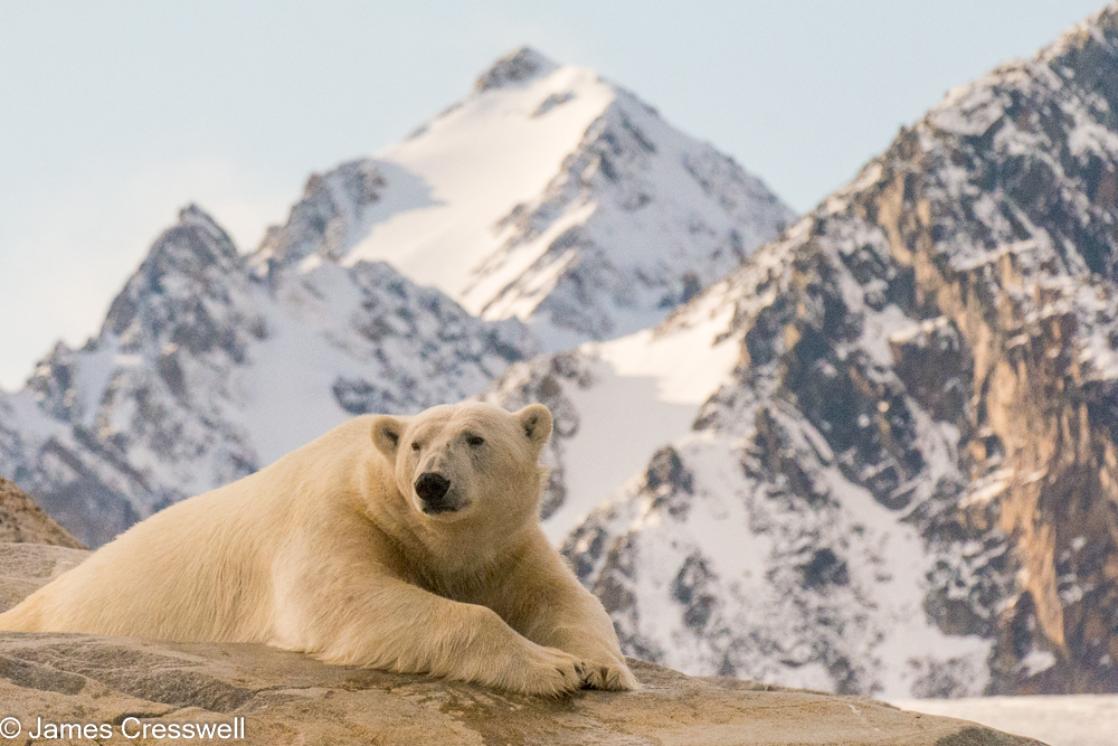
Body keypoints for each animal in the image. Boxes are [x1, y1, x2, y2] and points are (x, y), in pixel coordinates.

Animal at [2, 400, 639, 697]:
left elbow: (565, 600)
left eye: (475, 439)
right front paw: (552, 666)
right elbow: (348, 596)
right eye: (416, 443)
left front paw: (599, 666)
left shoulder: (507, 547)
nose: (431, 484)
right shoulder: (338, 515)